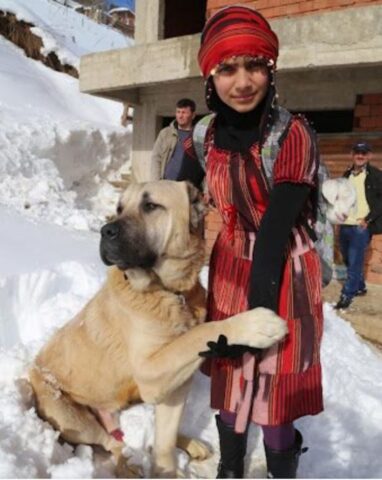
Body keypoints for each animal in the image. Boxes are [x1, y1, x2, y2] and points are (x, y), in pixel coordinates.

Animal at [29, 180, 286, 476]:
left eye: (150, 206)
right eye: (119, 208)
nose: (106, 231)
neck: (170, 292)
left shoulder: (175, 385)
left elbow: (165, 438)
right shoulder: (149, 370)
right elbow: (198, 333)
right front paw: (255, 325)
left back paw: (189, 444)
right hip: (71, 416)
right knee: (111, 442)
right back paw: (127, 466)